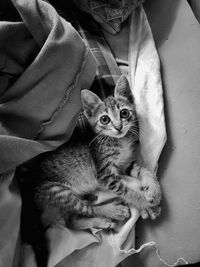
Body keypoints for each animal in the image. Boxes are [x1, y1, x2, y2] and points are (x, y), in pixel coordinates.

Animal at [34, 75, 161, 230]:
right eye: (104, 119)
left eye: (124, 113)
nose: (118, 127)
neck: (120, 141)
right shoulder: (105, 174)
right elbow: (126, 190)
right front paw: (144, 204)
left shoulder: (124, 165)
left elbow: (143, 169)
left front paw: (154, 191)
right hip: (59, 192)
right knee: (86, 208)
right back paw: (113, 211)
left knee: (72, 220)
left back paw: (101, 222)